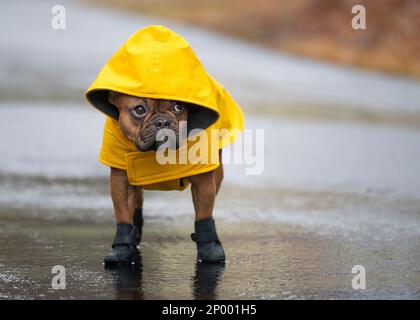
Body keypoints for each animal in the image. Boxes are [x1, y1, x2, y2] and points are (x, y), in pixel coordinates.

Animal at [102, 92, 226, 264]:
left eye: (178, 107)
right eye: (139, 109)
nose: (163, 122)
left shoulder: (204, 181)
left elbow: (204, 211)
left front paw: (209, 248)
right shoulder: (120, 180)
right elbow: (123, 212)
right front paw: (122, 249)